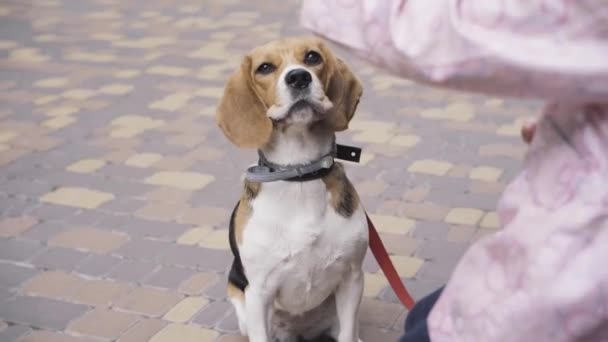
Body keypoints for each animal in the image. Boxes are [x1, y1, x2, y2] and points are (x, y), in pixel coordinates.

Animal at [217, 36, 366, 342]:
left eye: (312, 57)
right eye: (264, 67)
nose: (299, 77)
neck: (301, 173)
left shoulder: (352, 277)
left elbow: (348, 333)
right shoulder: (258, 292)